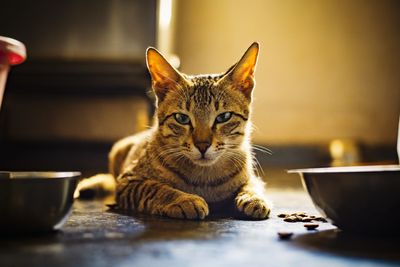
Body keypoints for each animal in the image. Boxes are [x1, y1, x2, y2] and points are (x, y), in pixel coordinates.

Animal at [108, 42, 270, 220]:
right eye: (182, 118)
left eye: (224, 117)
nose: (202, 145)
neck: (205, 179)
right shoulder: (129, 181)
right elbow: (155, 188)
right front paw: (184, 199)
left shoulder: (252, 177)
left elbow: (252, 184)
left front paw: (253, 197)